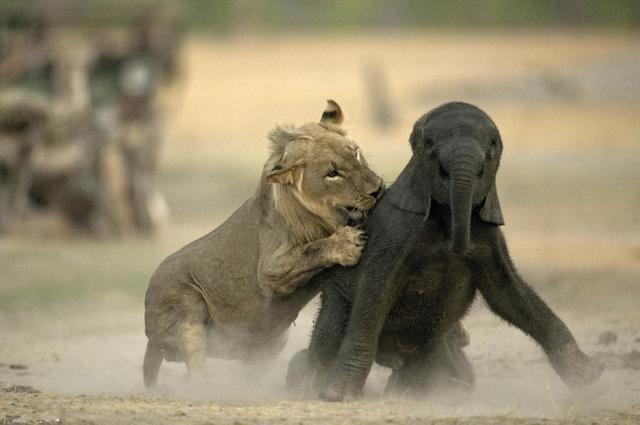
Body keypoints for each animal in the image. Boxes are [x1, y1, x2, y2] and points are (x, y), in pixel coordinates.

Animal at [143, 101, 382, 386]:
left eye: (354, 152)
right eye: (332, 174)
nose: (378, 189)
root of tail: (149, 336)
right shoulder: (269, 270)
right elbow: (311, 250)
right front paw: (347, 243)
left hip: (269, 343)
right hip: (186, 307)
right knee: (197, 371)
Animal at [288, 101, 604, 400]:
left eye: (492, 145)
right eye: (429, 146)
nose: (459, 247)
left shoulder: (490, 238)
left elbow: (510, 296)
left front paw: (590, 380)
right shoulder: (396, 233)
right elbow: (375, 294)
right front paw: (336, 396)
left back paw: (430, 390)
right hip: (336, 301)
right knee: (328, 338)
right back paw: (306, 382)